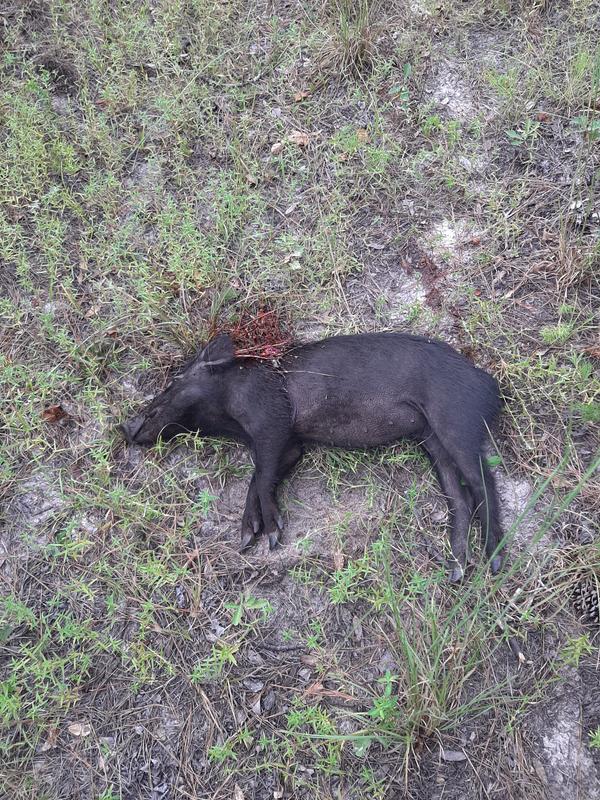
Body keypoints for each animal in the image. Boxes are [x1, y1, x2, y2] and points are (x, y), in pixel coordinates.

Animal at [120, 332, 505, 581]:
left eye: (174, 381)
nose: (125, 425)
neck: (229, 414)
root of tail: (492, 385)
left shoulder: (272, 421)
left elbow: (261, 475)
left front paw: (273, 537)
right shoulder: (291, 445)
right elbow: (260, 476)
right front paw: (246, 538)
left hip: (456, 421)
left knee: (484, 483)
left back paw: (495, 560)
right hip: (430, 438)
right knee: (460, 498)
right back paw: (456, 571)